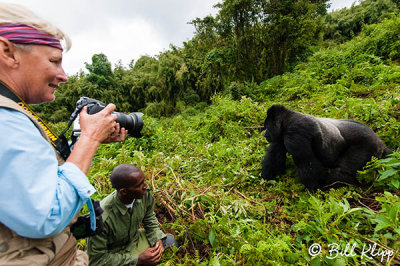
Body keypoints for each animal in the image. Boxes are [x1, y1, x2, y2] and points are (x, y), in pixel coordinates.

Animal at [260, 104, 392, 191]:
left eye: (267, 127)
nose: (265, 135)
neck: (287, 120)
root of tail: (379, 141)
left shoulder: (295, 133)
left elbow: (307, 163)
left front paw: (316, 188)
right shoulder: (280, 137)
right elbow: (274, 157)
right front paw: (267, 177)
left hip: (368, 144)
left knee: (343, 170)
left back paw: (328, 186)